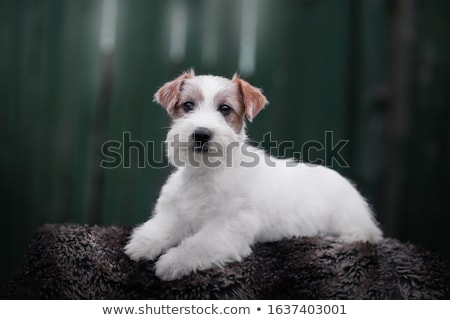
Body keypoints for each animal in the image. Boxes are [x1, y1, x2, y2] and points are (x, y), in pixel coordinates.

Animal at [125, 70, 382, 280]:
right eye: (188, 106)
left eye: (225, 109)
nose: (201, 134)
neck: (208, 171)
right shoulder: (179, 212)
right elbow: (162, 226)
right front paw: (142, 243)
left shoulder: (228, 227)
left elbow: (197, 244)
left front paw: (171, 262)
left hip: (349, 218)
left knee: (367, 233)